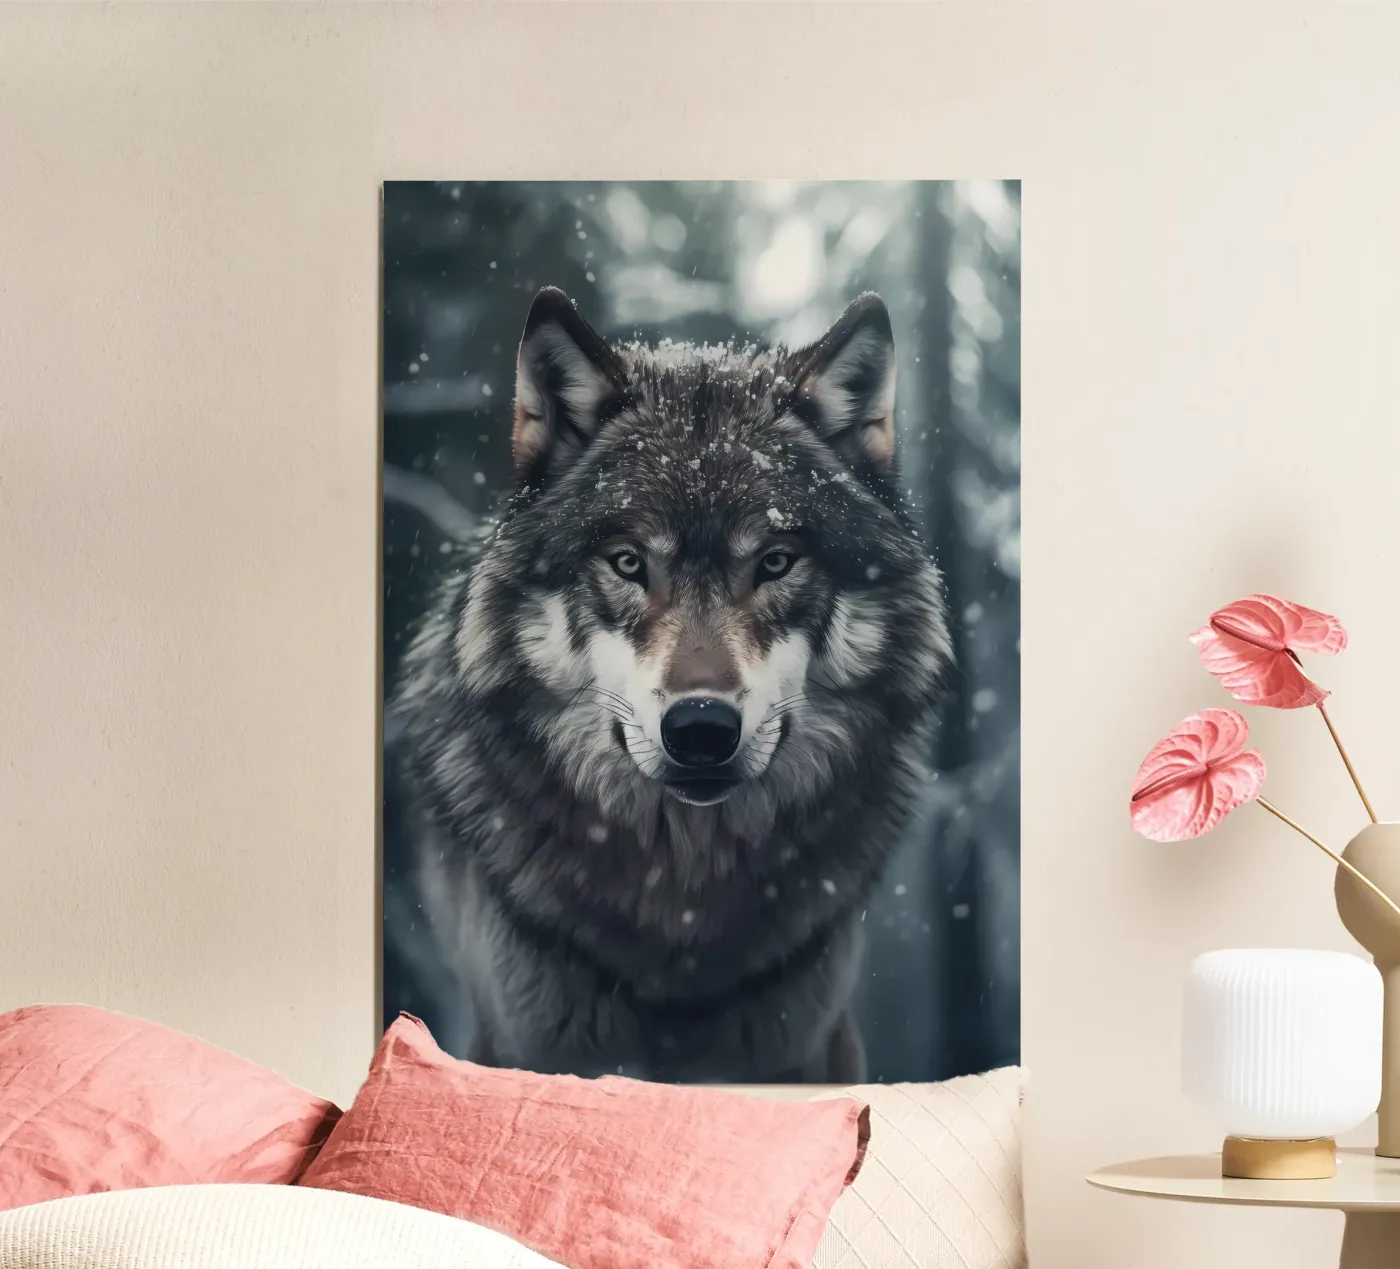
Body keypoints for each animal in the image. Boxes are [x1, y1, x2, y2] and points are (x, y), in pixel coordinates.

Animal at [385, 287, 952, 1083]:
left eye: (775, 562)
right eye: (628, 562)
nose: (702, 728)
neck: (683, 907)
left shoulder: (807, 1043)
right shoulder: (521, 1038)